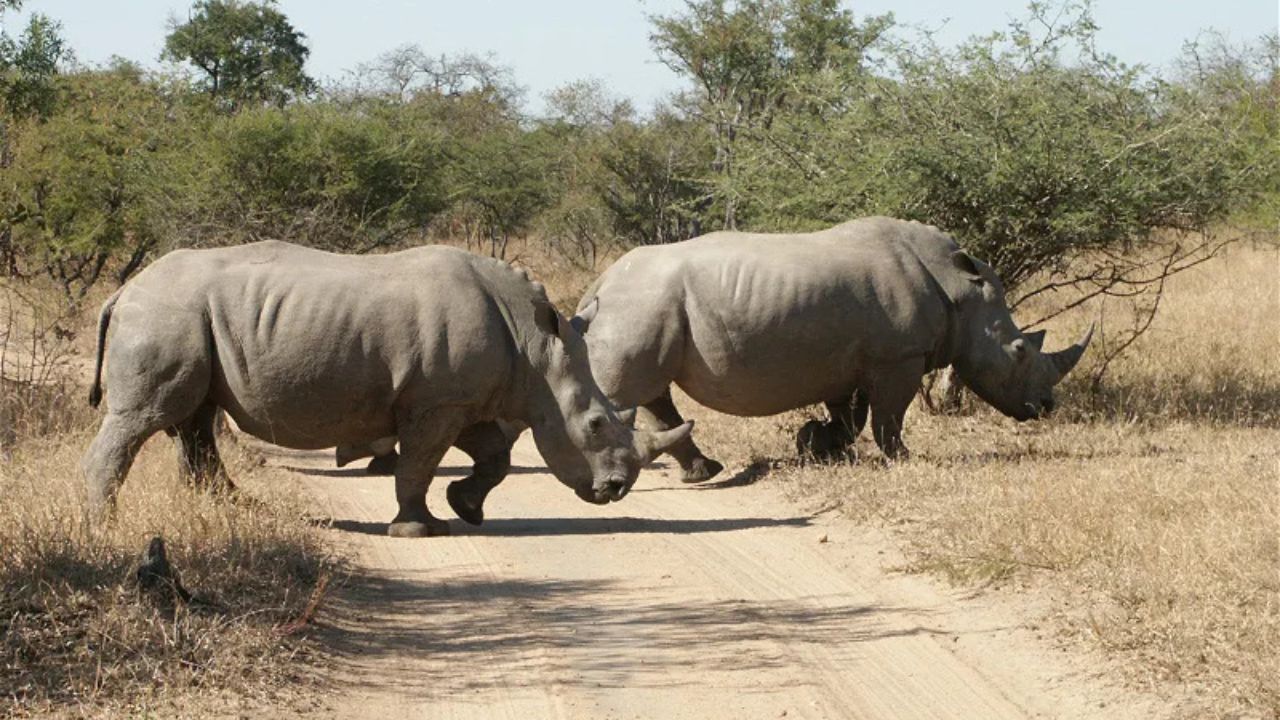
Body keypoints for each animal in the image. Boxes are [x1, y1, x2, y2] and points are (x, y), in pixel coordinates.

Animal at [82, 241, 691, 537]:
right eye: (595, 424)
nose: (615, 489)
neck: (536, 349)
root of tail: (123, 291)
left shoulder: (461, 399)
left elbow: (492, 458)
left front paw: (466, 509)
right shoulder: (436, 402)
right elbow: (418, 463)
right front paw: (419, 531)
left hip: (187, 317)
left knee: (195, 419)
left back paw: (235, 507)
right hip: (166, 315)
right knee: (146, 418)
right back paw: (103, 528)